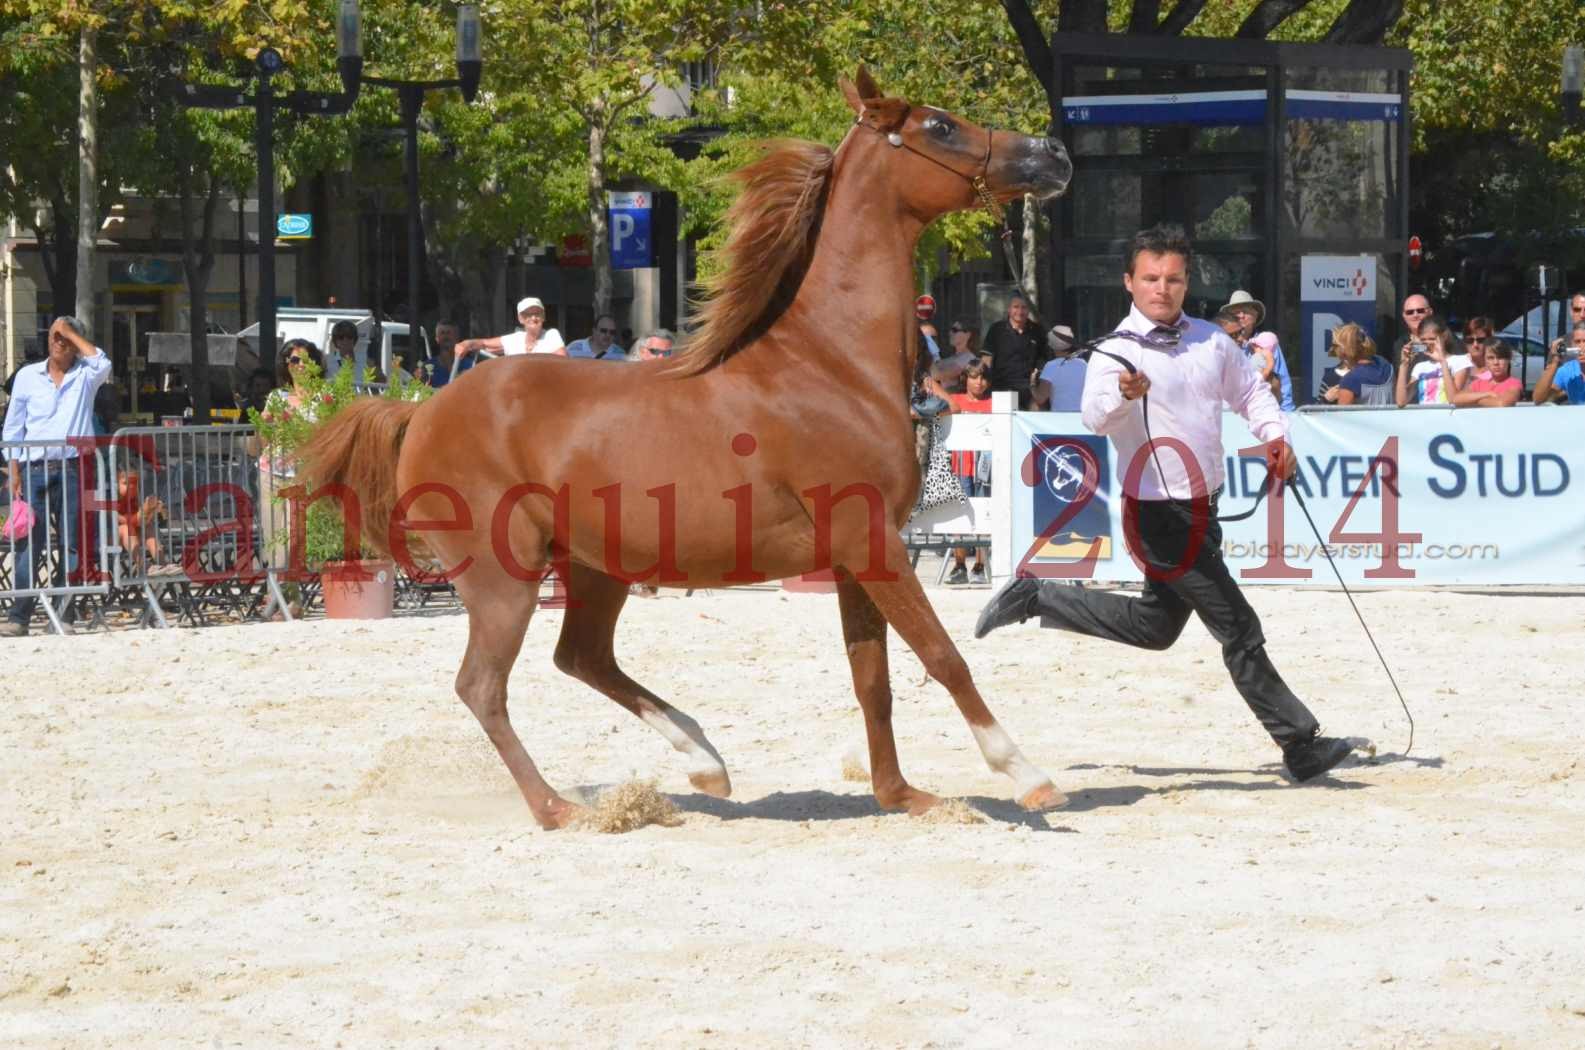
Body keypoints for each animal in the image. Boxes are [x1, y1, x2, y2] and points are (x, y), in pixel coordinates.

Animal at [299, 69, 1077, 837]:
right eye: (940, 126)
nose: (1052, 154)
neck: (828, 364)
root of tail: (421, 410)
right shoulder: (871, 540)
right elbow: (943, 656)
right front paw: (1026, 776)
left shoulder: (856, 554)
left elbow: (873, 680)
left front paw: (903, 795)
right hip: (503, 577)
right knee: (483, 686)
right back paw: (560, 809)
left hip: (594, 565)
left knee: (580, 657)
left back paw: (703, 761)